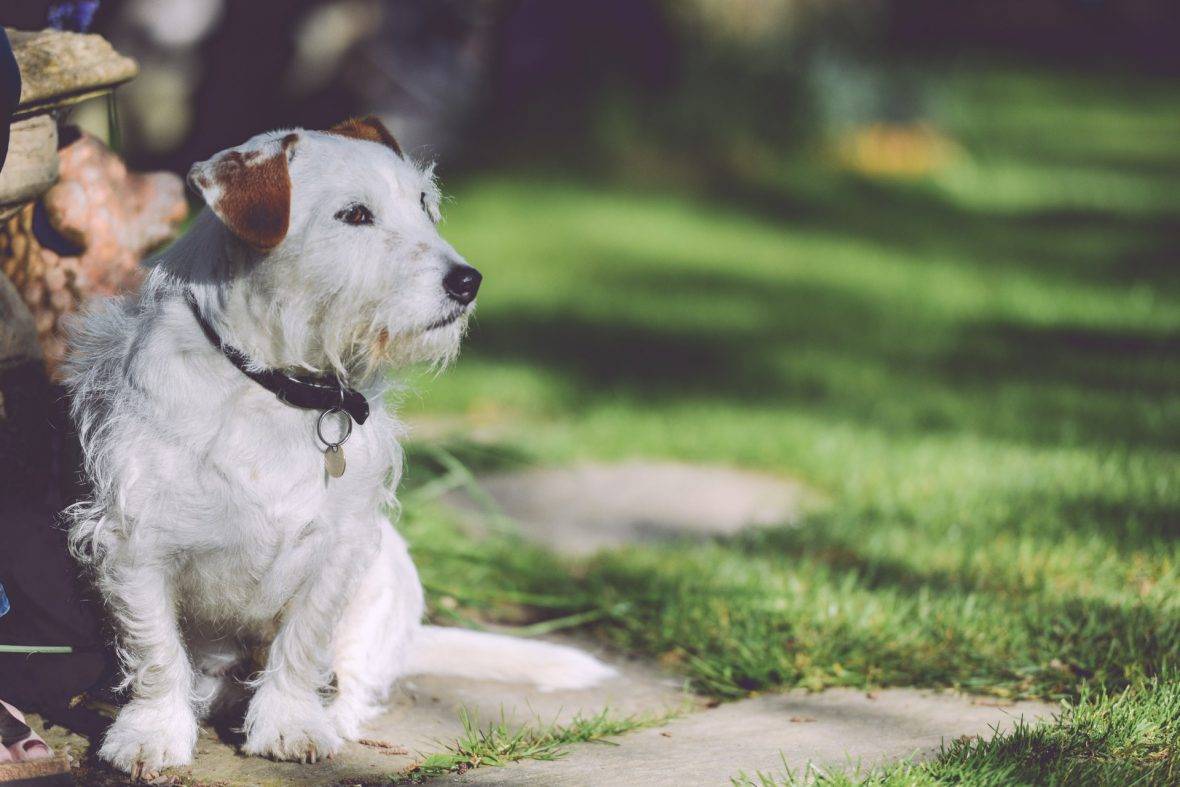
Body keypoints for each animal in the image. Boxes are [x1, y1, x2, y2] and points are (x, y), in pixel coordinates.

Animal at [63, 120, 613, 778]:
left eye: (423, 205)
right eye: (354, 215)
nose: (468, 280)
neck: (273, 388)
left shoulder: (337, 547)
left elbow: (304, 643)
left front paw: (290, 724)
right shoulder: (137, 544)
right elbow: (155, 651)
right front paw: (151, 734)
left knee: (349, 679)